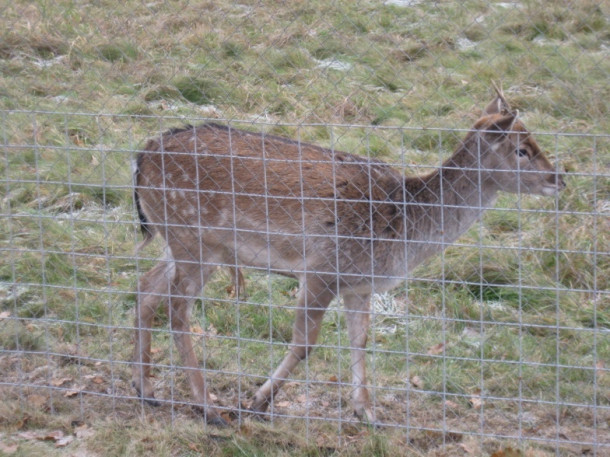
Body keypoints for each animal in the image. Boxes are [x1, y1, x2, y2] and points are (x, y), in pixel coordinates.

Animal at [131, 85, 564, 424]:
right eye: (522, 149)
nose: (559, 178)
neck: (403, 229)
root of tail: (141, 158)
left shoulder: (360, 284)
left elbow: (360, 340)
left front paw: (366, 412)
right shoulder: (323, 271)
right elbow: (305, 344)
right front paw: (258, 401)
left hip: (181, 240)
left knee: (146, 287)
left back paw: (145, 389)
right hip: (194, 239)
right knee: (177, 310)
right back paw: (208, 408)